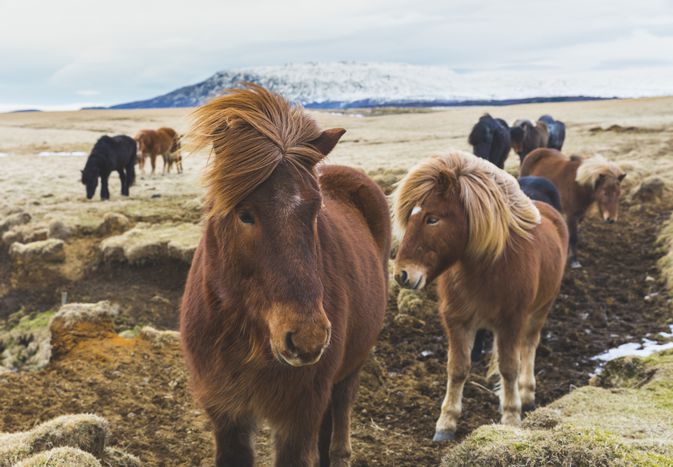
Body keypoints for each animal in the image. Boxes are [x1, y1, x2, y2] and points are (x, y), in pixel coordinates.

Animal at [180, 85, 388, 467]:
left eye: (316, 210)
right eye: (245, 214)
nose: (308, 338)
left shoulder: (298, 417)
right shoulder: (226, 415)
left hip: (353, 364)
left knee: (341, 413)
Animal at [392, 150, 568, 442]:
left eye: (432, 218)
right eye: (411, 216)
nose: (402, 274)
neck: (487, 268)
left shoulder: (511, 322)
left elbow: (509, 367)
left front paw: (511, 417)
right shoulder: (457, 321)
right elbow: (458, 369)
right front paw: (446, 424)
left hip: (540, 309)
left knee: (529, 346)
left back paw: (526, 394)